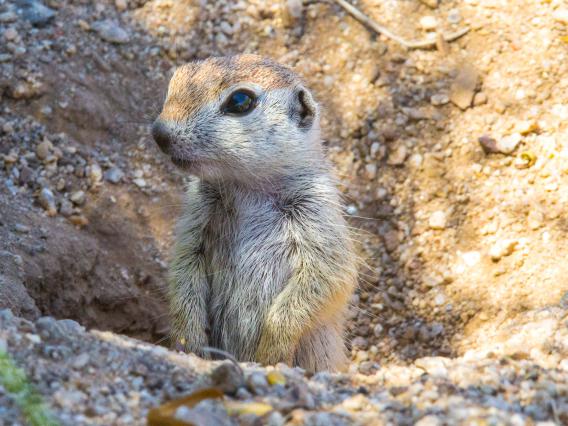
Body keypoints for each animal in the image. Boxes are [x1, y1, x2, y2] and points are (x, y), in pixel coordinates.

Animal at [151, 55, 356, 372]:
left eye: (240, 101)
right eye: (177, 79)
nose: (159, 133)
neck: (247, 188)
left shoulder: (317, 212)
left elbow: (328, 276)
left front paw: (271, 353)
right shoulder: (197, 216)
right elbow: (184, 270)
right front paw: (190, 341)